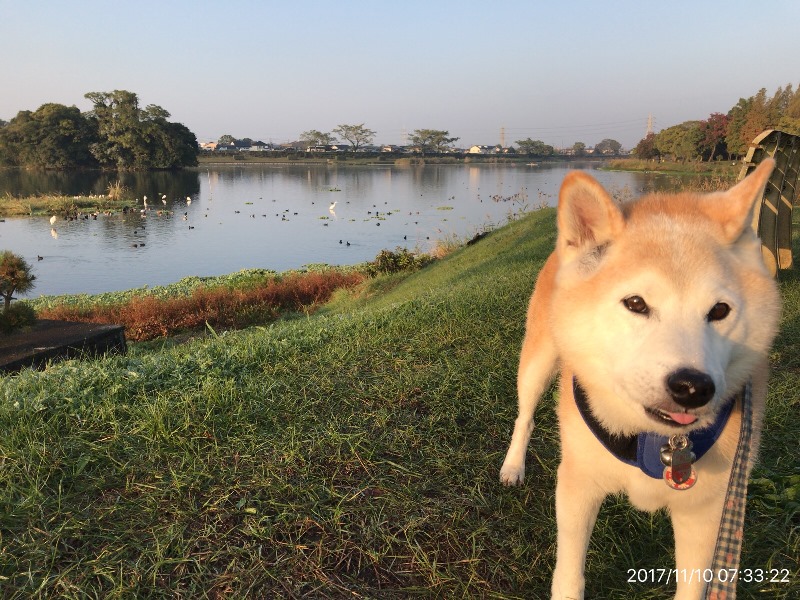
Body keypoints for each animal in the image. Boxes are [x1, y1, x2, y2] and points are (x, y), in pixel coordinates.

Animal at [499, 159, 780, 600]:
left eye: (719, 311)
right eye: (636, 303)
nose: (693, 387)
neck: (656, 439)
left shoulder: (708, 511)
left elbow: (694, 586)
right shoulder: (577, 485)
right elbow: (569, 575)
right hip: (538, 362)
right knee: (524, 416)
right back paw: (513, 466)